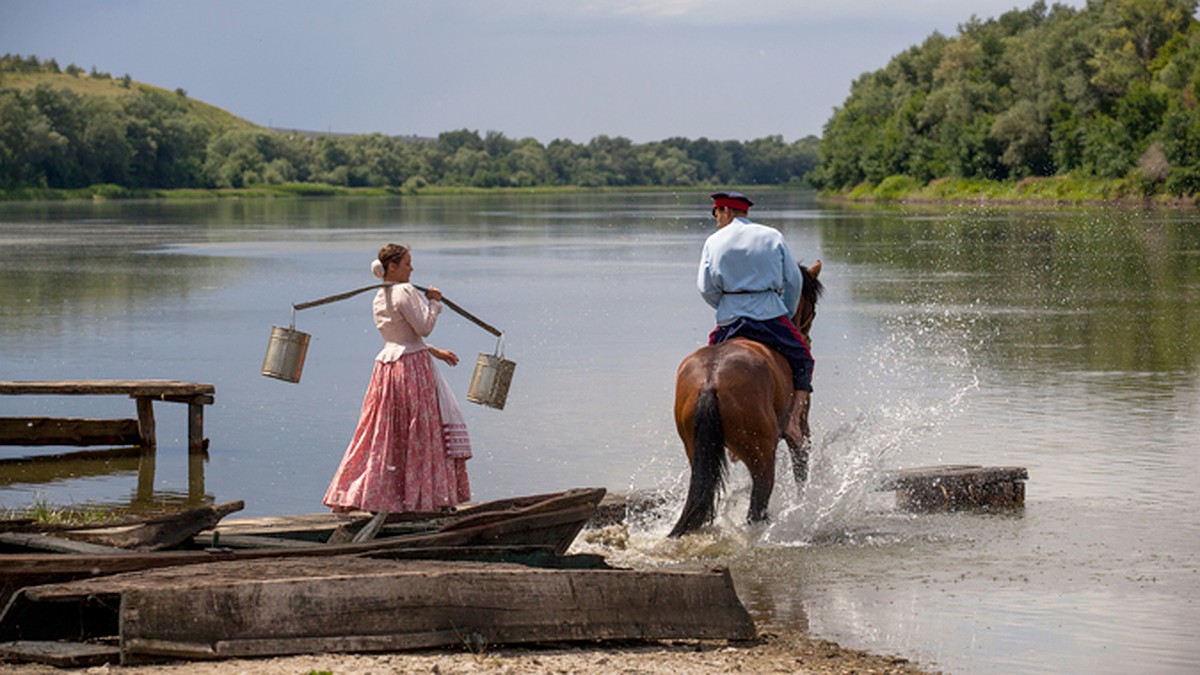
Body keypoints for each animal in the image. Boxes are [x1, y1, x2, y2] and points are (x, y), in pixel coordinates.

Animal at [667, 258, 825, 535]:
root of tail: (710, 380)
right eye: (812, 307)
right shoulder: (801, 428)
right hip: (762, 456)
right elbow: (801, 470)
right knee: (757, 508)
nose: (806, 338)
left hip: (697, 450)